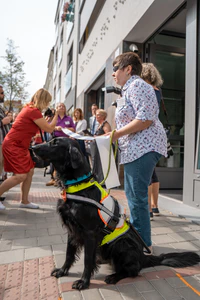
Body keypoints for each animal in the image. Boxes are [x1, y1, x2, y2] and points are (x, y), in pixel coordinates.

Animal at [33, 137, 200, 290]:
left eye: (55, 143)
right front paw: (62, 271)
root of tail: (143, 257)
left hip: (122, 243)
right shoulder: (71, 229)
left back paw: (114, 276)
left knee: (133, 270)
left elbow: (87, 260)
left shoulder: (89, 232)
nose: (33, 147)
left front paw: (83, 282)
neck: (78, 186)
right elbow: (69, 254)